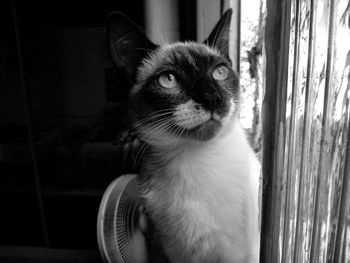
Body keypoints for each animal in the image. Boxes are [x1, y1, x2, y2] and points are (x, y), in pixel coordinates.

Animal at [108, 9, 260, 262]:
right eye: (168, 79)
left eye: (220, 72)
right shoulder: (178, 253)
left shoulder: (240, 254)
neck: (199, 159)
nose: (212, 98)